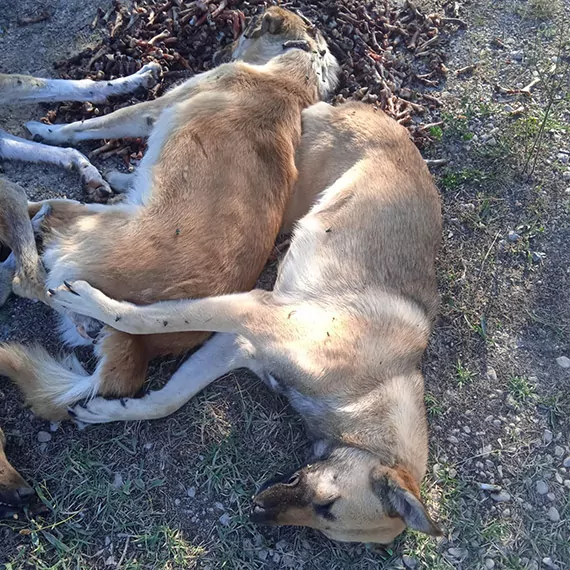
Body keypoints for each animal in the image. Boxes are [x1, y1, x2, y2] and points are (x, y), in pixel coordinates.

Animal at [0, 6, 338, 420]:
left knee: (29, 261)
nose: (220, 49)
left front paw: (47, 129)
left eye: (245, 31)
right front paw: (118, 174)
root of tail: (136, 343)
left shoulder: (152, 109)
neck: (292, 80)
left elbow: (87, 125)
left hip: (80, 219)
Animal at [51, 101, 444, 540]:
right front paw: (93, 304)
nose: (257, 512)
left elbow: (168, 400)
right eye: (327, 507)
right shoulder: (255, 312)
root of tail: (361, 108)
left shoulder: (238, 345)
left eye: (326, 526)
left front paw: (110, 411)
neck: (368, 391)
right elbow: (149, 320)